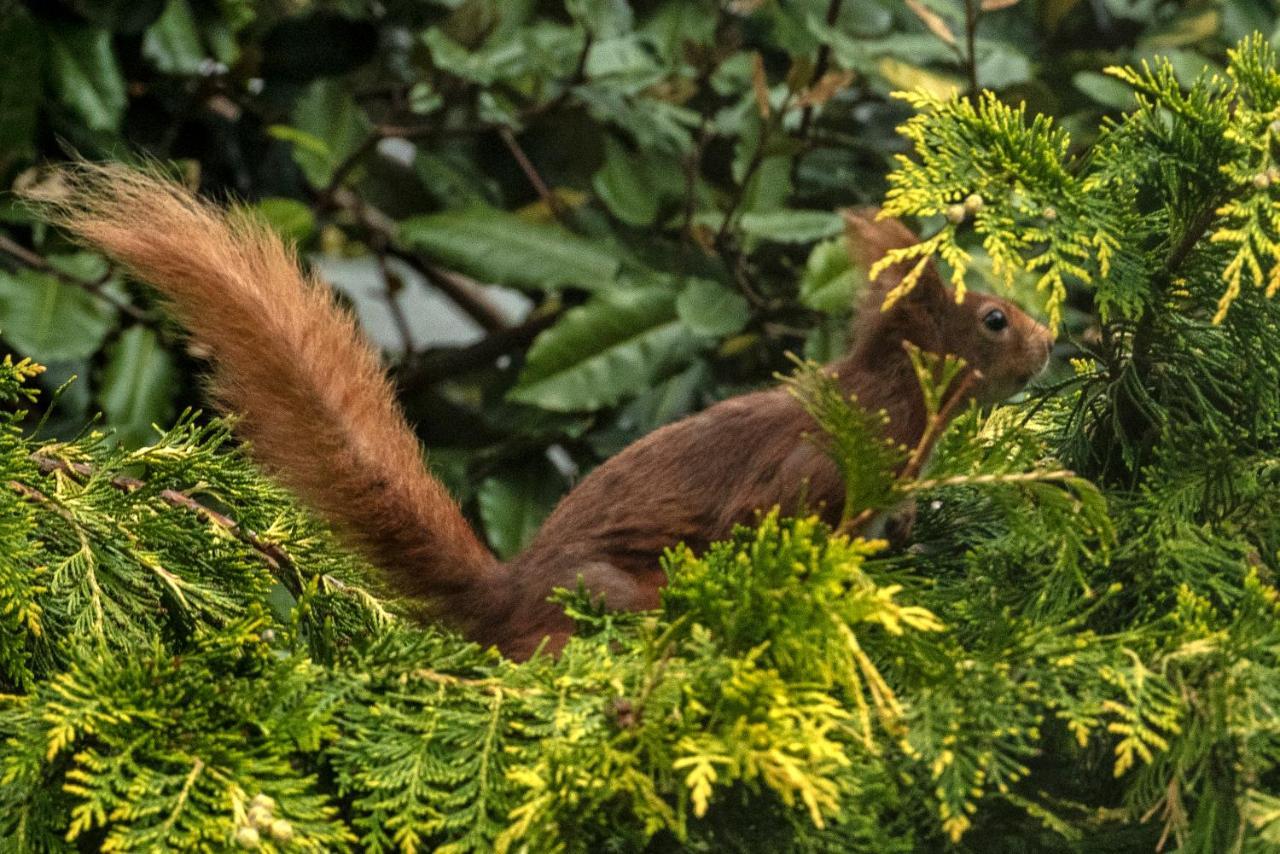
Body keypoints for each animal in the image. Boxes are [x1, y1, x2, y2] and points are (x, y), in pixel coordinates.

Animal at [27, 165, 1049, 660]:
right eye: (995, 318)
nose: (1051, 342)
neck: (894, 398)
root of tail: (506, 598)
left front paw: (907, 529)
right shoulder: (816, 467)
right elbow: (778, 515)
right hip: (607, 601)